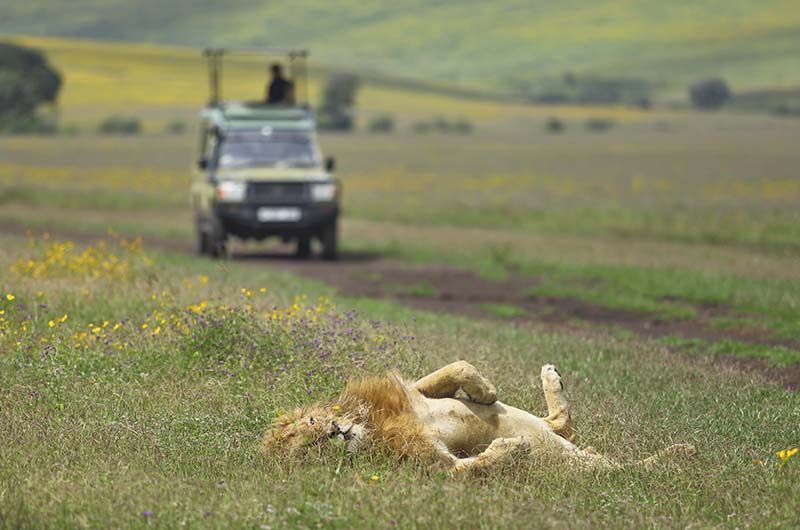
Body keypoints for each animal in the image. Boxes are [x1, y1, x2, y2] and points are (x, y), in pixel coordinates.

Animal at [264, 358, 692, 470]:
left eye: (313, 425)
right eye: (309, 450)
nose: (335, 433)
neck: (371, 426)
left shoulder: (414, 393)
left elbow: (456, 368)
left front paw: (485, 390)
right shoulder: (437, 466)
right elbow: (472, 468)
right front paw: (511, 449)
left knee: (559, 422)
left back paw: (551, 376)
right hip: (584, 467)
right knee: (623, 469)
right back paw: (682, 453)